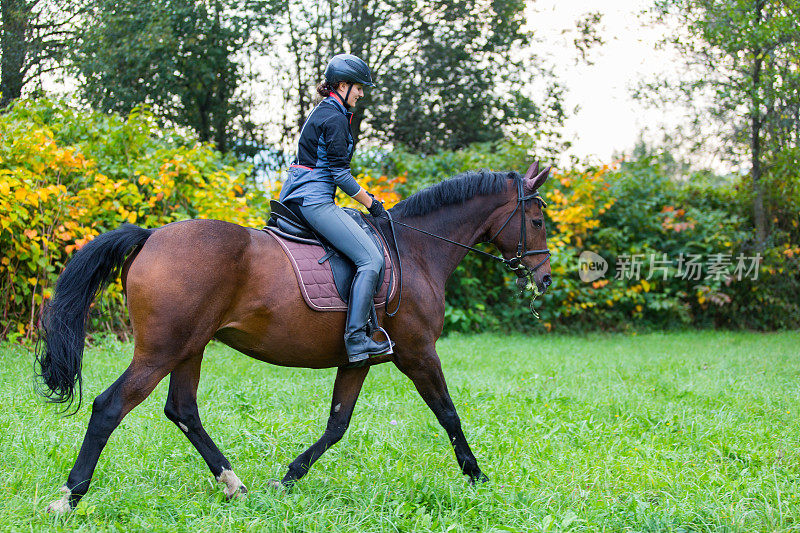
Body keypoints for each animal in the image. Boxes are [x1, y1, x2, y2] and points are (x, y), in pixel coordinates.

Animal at [36, 162, 552, 512]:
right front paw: (477, 477)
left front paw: (287, 478)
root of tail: (151, 236)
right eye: (538, 221)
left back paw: (233, 483)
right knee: (110, 406)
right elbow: (448, 414)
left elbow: (337, 425)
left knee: (182, 410)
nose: (545, 278)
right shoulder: (419, 354)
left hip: (190, 348)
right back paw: (69, 496)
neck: (416, 250)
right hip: (161, 350)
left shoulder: (357, 360)